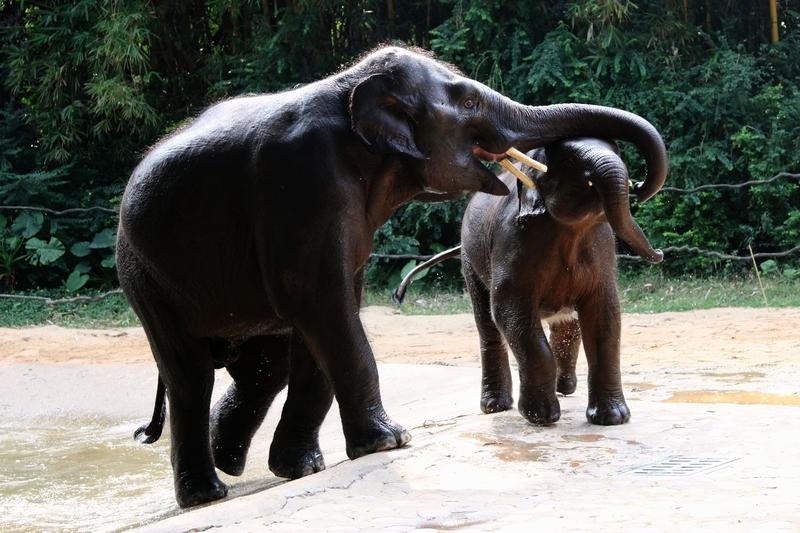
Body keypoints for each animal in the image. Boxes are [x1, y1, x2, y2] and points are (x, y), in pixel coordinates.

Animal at [460, 137, 666, 427]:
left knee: (567, 323)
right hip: (469, 256)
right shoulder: (511, 242)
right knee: (487, 324)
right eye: (568, 161)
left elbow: (604, 315)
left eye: (617, 151)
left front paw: (612, 419)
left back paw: (565, 387)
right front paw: (541, 417)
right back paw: (495, 406)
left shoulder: (603, 251)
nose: (661, 253)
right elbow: (508, 311)